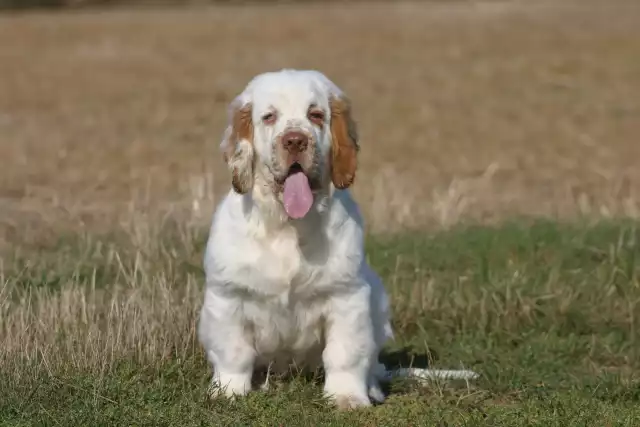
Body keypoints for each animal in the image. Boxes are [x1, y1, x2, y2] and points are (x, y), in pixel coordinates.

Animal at [198, 70, 478, 412]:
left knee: (371, 365)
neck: (288, 226)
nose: (295, 140)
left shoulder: (347, 296)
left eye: (316, 115)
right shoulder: (227, 296)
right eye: (269, 116)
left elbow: (345, 353)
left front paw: (347, 397)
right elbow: (233, 352)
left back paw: (372, 388)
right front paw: (227, 391)